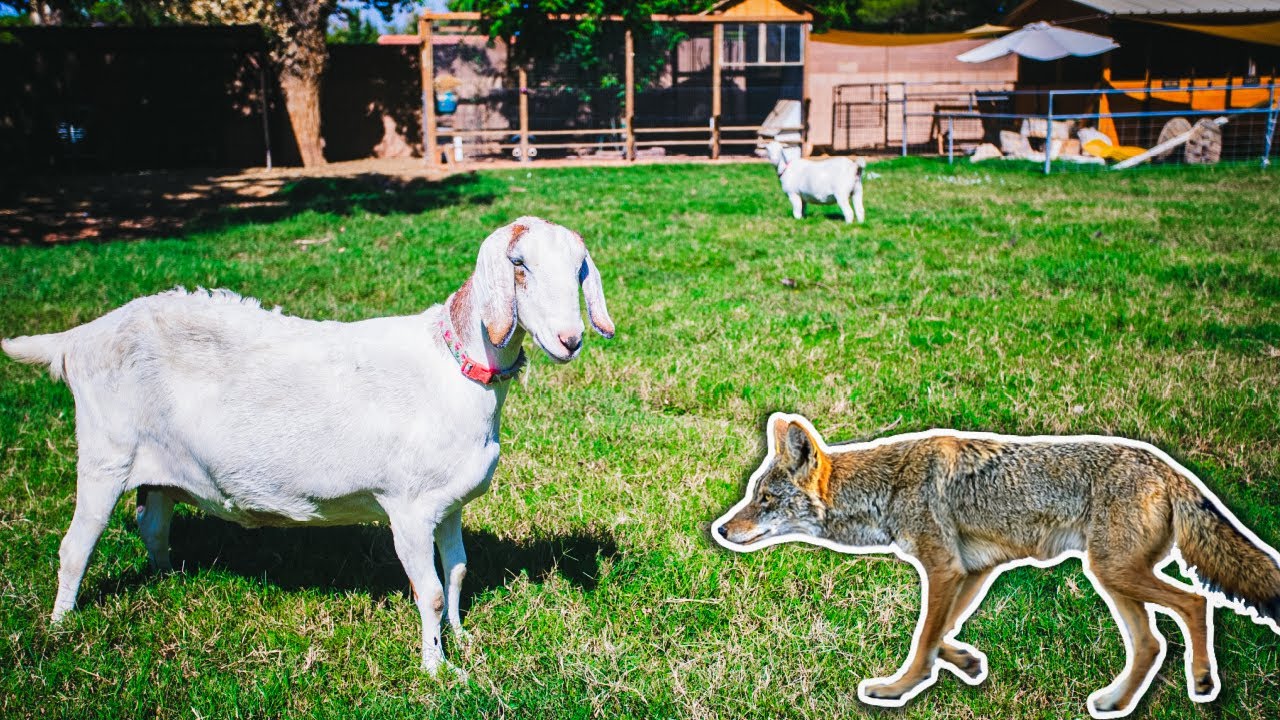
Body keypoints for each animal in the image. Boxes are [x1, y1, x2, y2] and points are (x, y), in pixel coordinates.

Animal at [1, 216, 615, 675]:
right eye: (519, 266)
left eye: (578, 268)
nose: (570, 339)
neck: (453, 368)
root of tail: (79, 339)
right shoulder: (409, 509)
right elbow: (432, 591)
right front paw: (438, 671)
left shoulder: (450, 506)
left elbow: (459, 573)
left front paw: (461, 640)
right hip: (105, 454)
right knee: (74, 547)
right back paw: (60, 627)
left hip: (158, 469)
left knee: (152, 525)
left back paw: (167, 581)